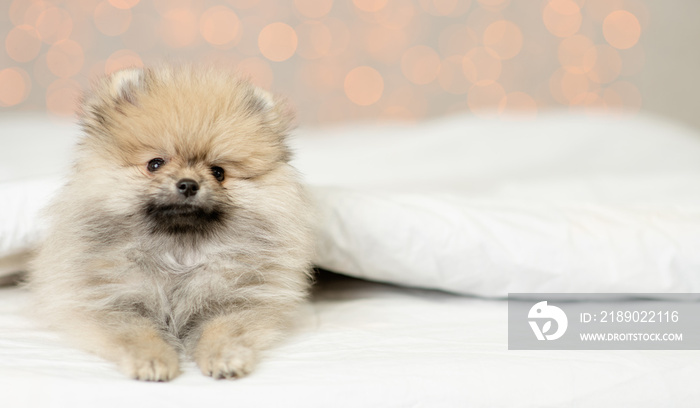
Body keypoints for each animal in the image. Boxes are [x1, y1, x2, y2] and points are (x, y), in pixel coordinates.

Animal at [29, 65, 314, 380]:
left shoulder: (234, 300)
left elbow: (223, 329)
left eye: (218, 172)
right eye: (155, 164)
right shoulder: (114, 300)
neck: (179, 250)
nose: (188, 184)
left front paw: (224, 357)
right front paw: (152, 360)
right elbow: (138, 333)